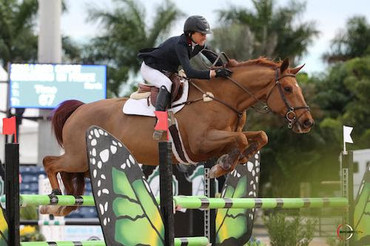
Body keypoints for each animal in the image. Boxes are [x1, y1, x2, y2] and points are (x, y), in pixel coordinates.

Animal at [39, 57, 312, 215]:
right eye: (288, 88)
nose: (307, 122)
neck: (221, 98)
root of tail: (79, 110)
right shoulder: (200, 144)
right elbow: (242, 140)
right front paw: (221, 167)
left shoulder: (225, 137)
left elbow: (259, 136)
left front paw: (237, 159)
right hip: (78, 157)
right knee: (50, 162)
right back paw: (53, 197)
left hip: (84, 164)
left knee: (67, 174)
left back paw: (65, 202)